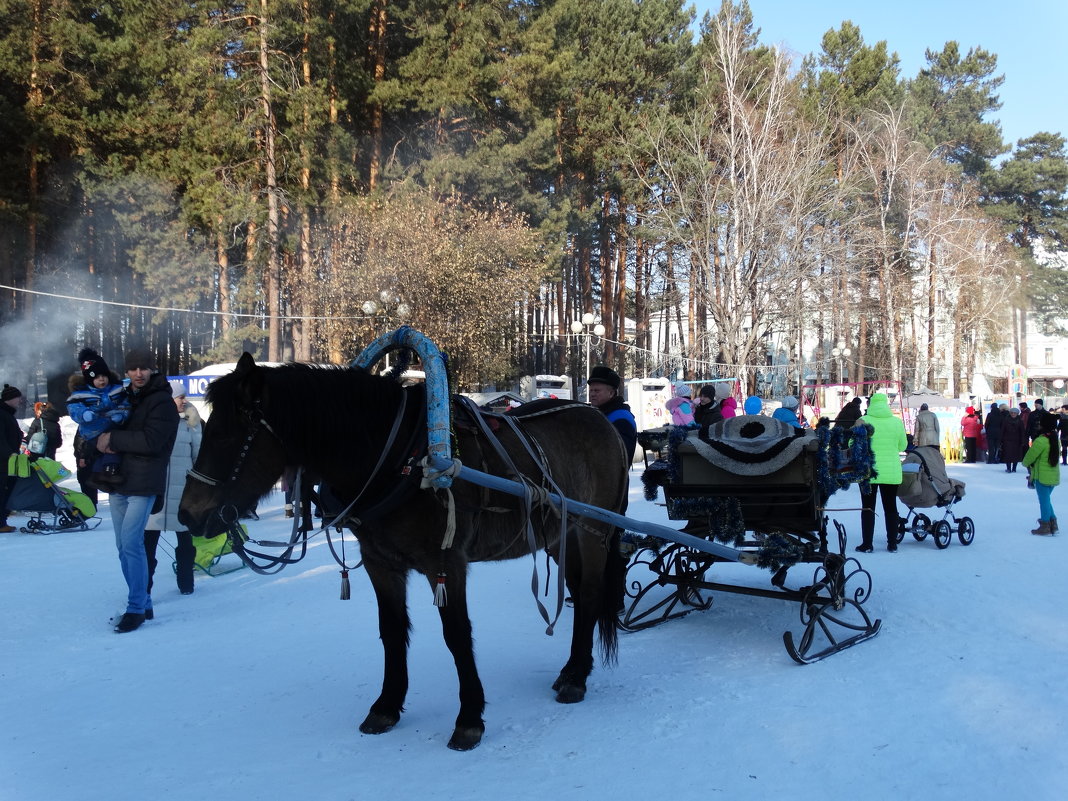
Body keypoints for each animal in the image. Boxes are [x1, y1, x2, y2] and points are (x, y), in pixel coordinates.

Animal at [178, 354, 627, 751]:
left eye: (226, 434)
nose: (187, 515)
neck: (401, 459)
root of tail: (599, 418)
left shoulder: (446, 563)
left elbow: (456, 635)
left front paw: (469, 718)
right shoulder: (381, 563)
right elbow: (392, 631)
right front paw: (386, 706)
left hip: (594, 531)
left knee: (589, 593)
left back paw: (576, 678)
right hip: (560, 537)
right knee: (578, 592)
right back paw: (571, 669)